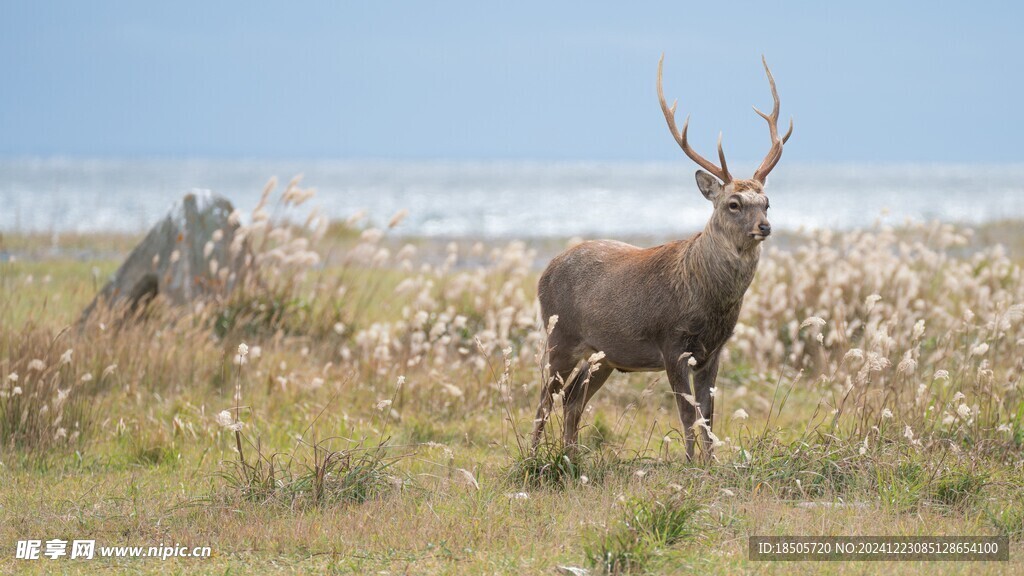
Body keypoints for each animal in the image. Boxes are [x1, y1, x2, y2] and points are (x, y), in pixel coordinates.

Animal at [532, 53, 794, 457]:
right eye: (734, 203)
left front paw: (711, 463)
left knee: (574, 398)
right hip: (559, 334)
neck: (708, 301)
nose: (764, 227)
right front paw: (689, 464)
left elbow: (709, 418)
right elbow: (687, 416)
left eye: (767, 202)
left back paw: (571, 456)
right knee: (545, 399)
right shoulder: (671, 342)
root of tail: (545, 271)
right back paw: (532, 457)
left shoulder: (713, 351)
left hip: (604, 353)